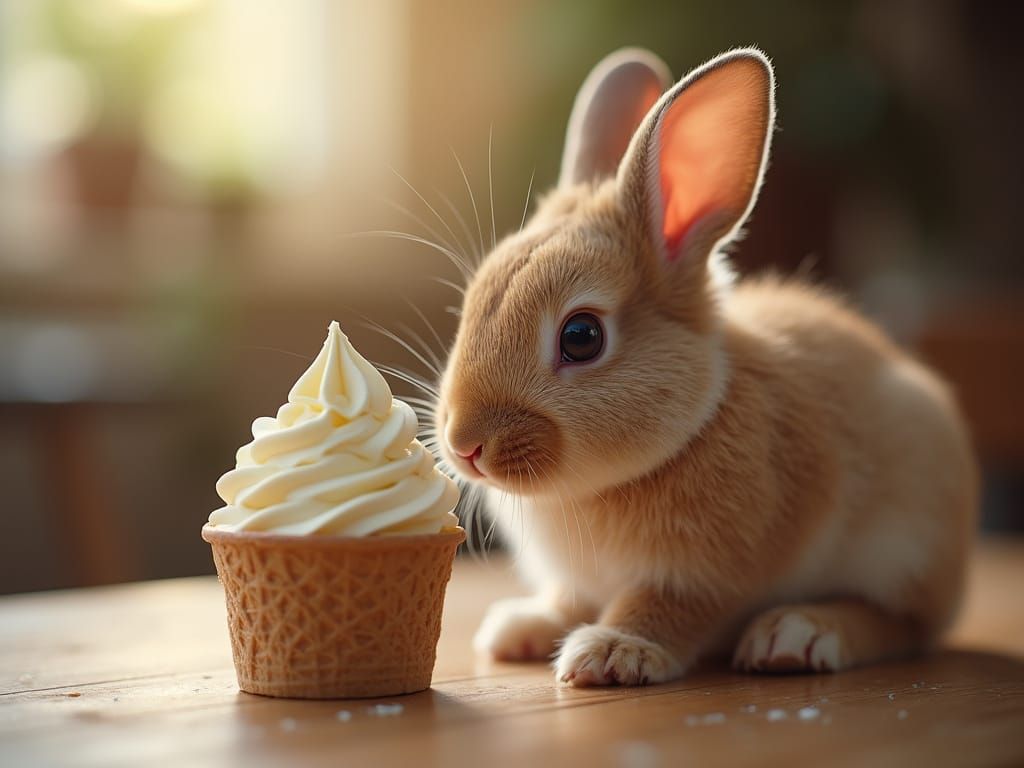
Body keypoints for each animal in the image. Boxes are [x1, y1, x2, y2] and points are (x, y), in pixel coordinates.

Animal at [434, 47, 978, 687]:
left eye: (581, 337)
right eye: (472, 301)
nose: (464, 445)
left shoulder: (706, 575)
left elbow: (665, 607)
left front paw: (611, 652)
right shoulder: (579, 582)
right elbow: (569, 600)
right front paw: (518, 629)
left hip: (908, 542)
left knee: (901, 625)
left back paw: (796, 635)